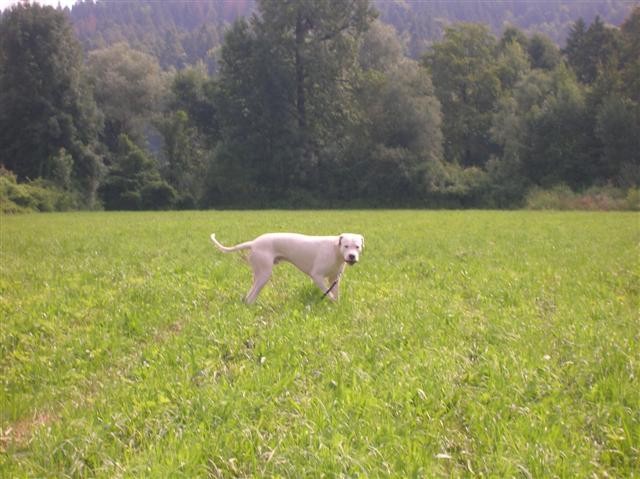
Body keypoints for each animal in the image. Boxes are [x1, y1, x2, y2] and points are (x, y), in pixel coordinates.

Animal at [211, 232, 364, 304]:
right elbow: (329, 294)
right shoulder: (317, 276)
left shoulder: (334, 279)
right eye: (346, 246)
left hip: (258, 275)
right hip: (264, 275)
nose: (351, 256)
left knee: (249, 295)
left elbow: (336, 294)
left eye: (357, 246)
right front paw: (331, 301)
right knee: (251, 296)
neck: (335, 250)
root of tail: (254, 243)